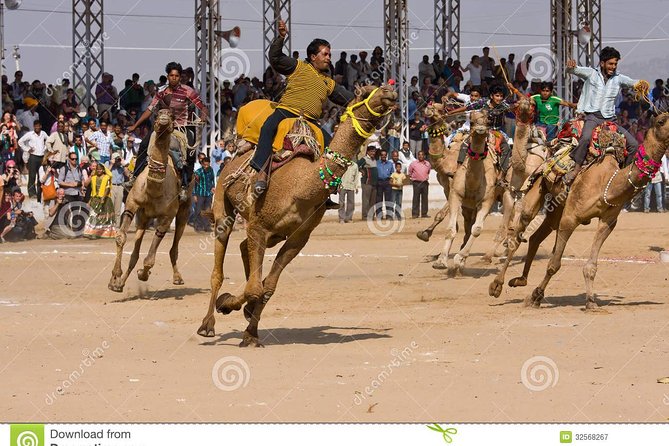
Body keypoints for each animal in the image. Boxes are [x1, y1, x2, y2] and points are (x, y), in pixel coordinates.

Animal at [107, 109, 190, 292]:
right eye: (158, 113)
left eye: (172, 116)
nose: (164, 117)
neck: (154, 189)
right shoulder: (132, 204)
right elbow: (121, 237)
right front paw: (115, 279)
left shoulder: (166, 217)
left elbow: (150, 259)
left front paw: (142, 274)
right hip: (143, 217)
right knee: (135, 252)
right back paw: (120, 283)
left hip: (183, 211)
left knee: (174, 247)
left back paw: (178, 278)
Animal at [198, 85, 396, 346]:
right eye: (364, 92)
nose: (389, 92)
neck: (301, 186)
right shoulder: (258, 225)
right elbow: (255, 288)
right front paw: (227, 304)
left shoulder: (298, 237)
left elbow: (267, 287)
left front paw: (250, 332)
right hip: (222, 200)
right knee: (218, 269)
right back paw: (207, 325)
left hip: (274, 235)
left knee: (243, 249)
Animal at [430, 110, 498, 274]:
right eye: (472, 121)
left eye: (488, 121)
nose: (480, 129)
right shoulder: (455, 194)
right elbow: (451, 228)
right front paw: (441, 261)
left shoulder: (487, 200)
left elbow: (477, 229)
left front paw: (459, 258)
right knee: (467, 225)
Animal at [486, 111, 668, 308]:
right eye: (661, 121)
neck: (608, 183)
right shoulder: (570, 219)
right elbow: (554, 264)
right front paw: (536, 295)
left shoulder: (607, 221)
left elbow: (591, 266)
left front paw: (590, 302)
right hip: (538, 188)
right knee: (519, 234)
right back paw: (497, 285)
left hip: (557, 207)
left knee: (536, 236)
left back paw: (520, 280)